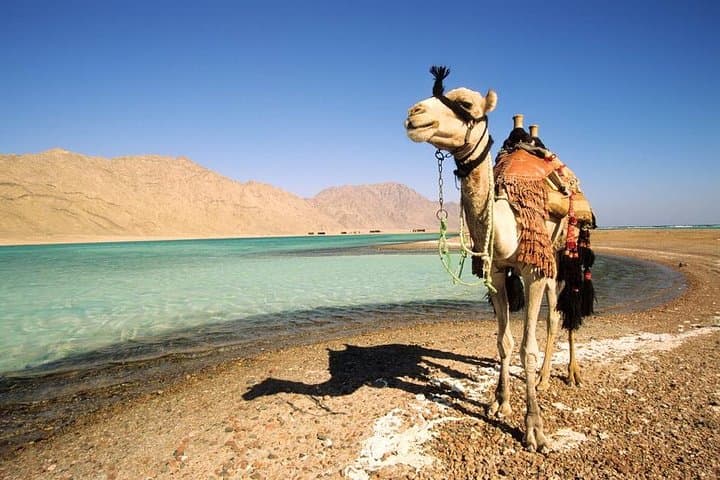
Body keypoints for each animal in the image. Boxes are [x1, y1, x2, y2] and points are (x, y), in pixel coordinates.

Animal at [404, 67, 589, 452]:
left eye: (465, 104)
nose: (414, 114)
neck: (508, 218)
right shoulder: (499, 272)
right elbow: (503, 342)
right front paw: (500, 403)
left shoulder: (533, 271)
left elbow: (526, 348)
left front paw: (534, 429)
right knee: (555, 313)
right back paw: (547, 378)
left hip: (565, 254)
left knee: (563, 312)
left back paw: (567, 374)